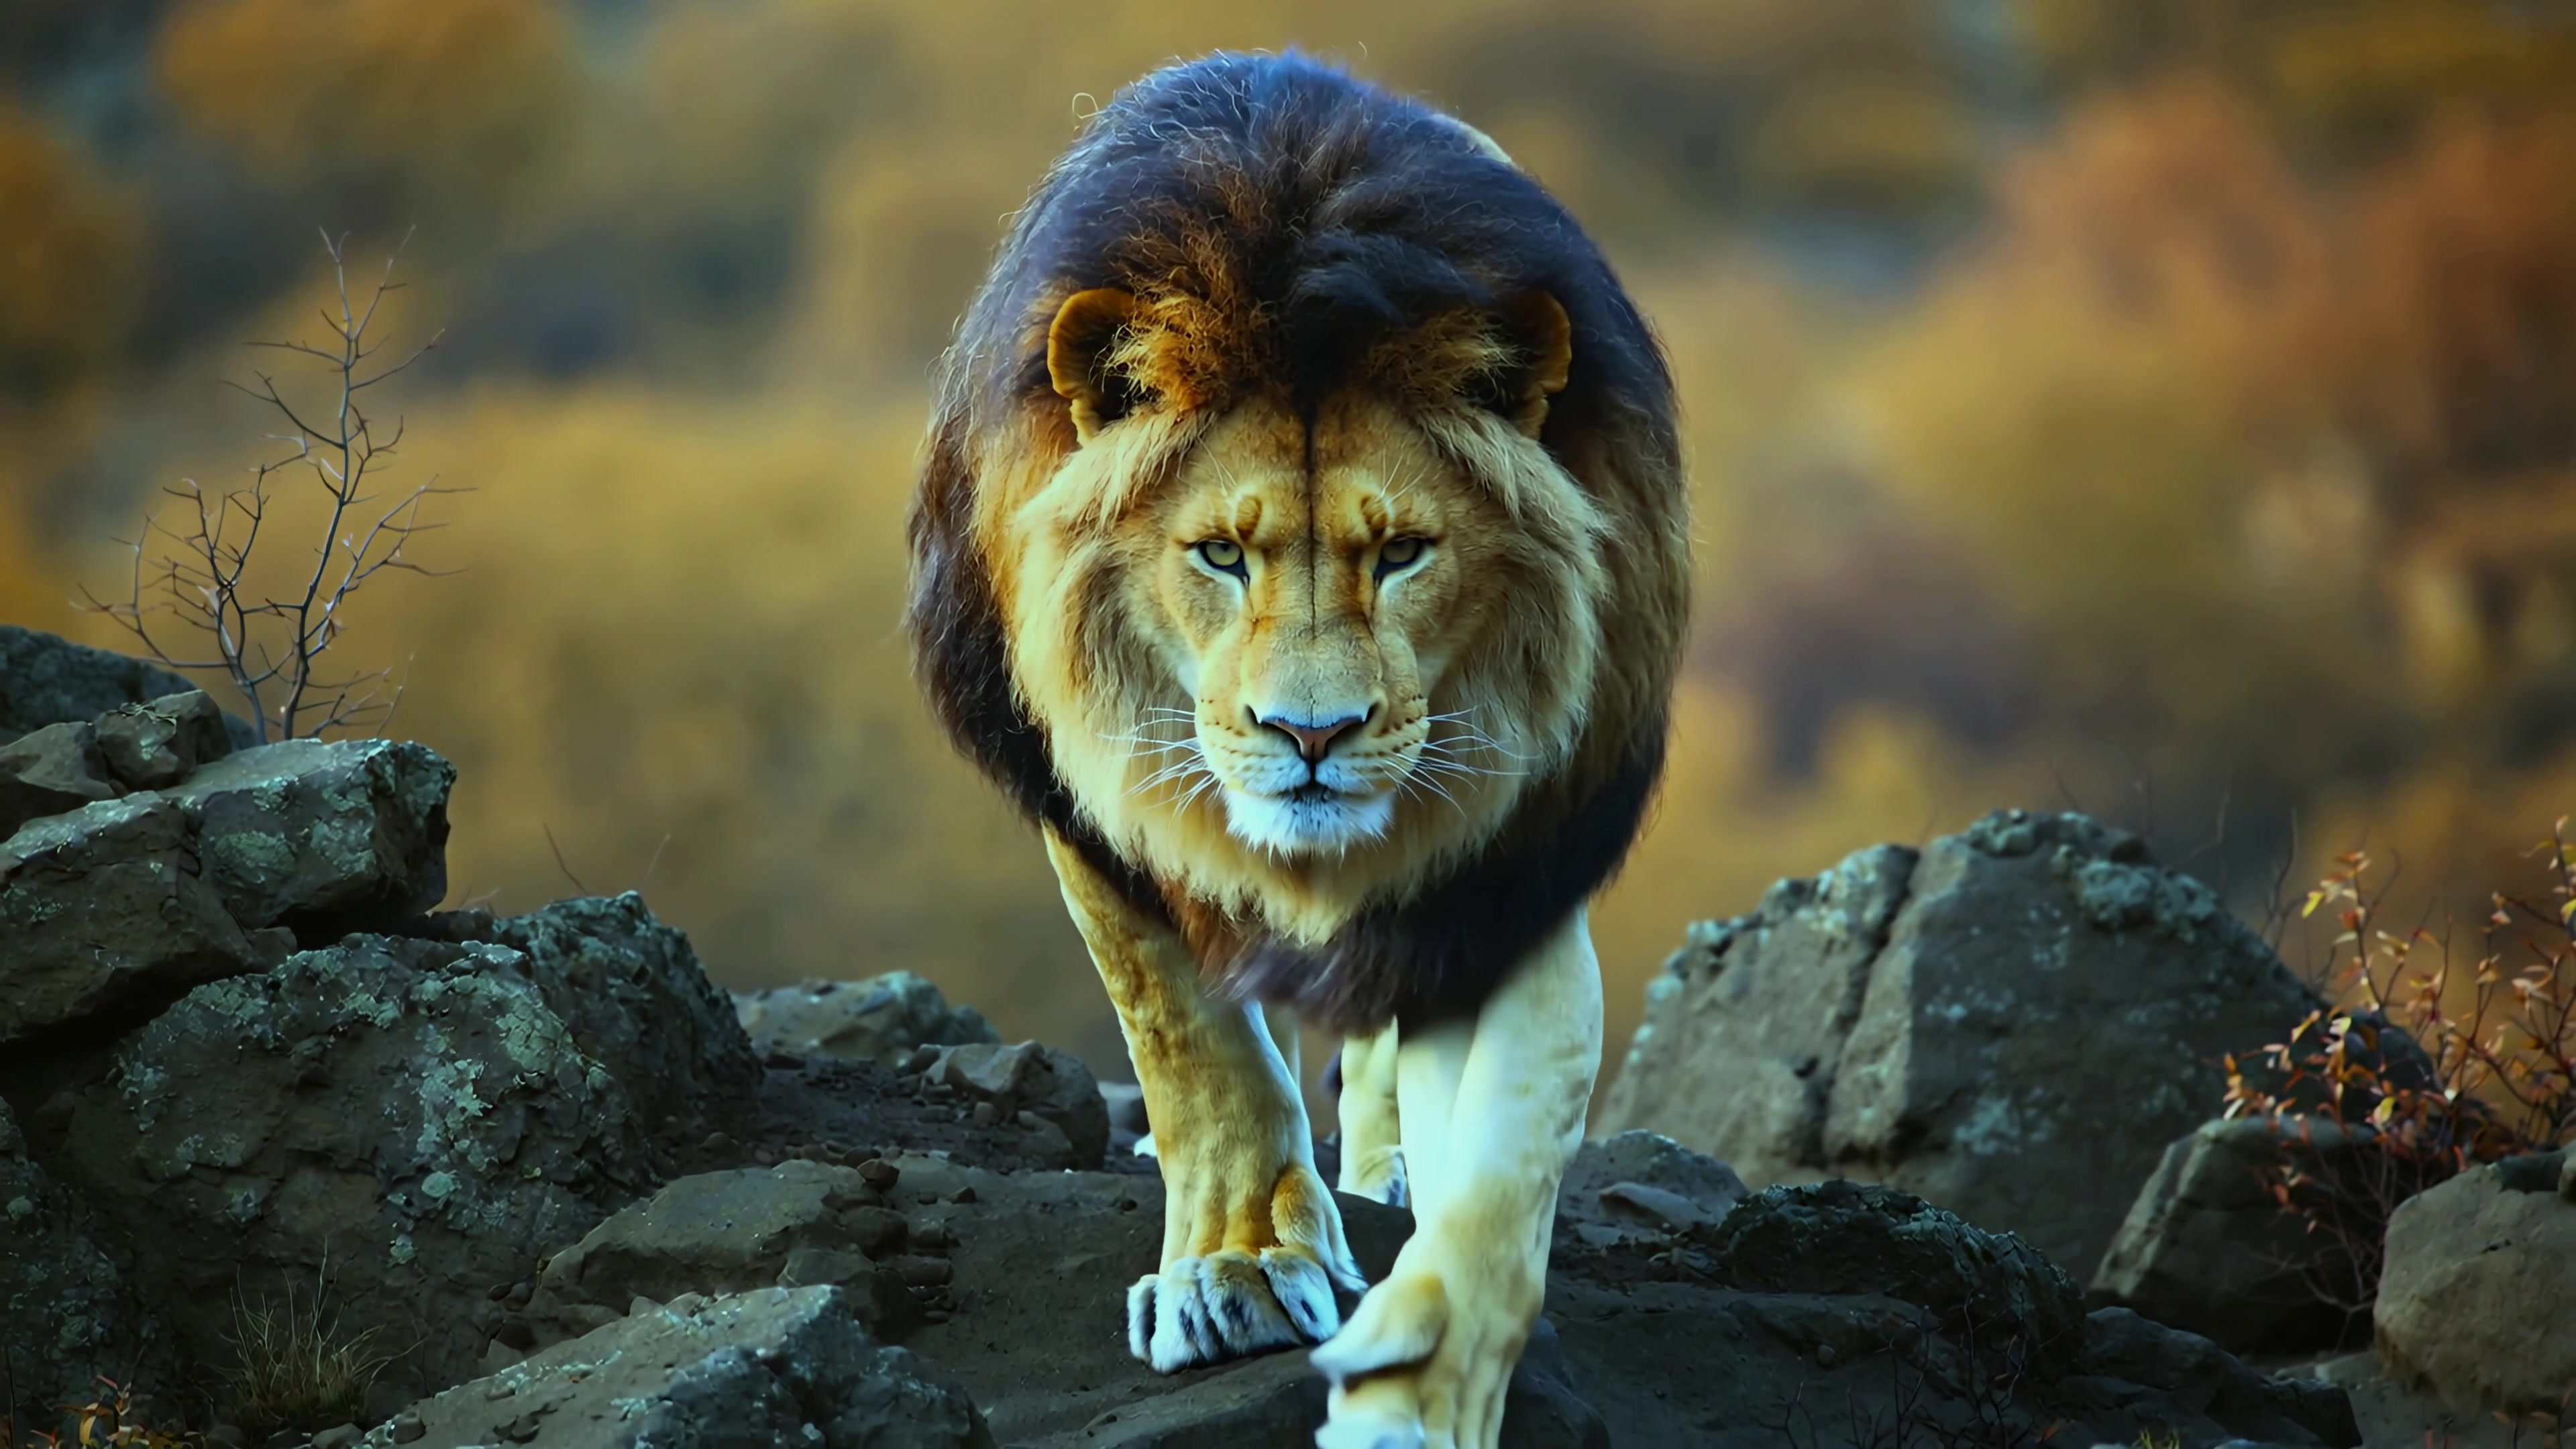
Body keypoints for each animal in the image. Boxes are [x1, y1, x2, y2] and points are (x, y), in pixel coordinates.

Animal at [907, 53, 1687, 1449]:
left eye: (1404, 553)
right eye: (1222, 552)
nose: (1310, 737)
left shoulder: (1519, 864)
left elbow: (1512, 1143)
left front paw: (1423, 1393)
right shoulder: (1083, 799)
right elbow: (1185, 1031)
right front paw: (1239, 1266)